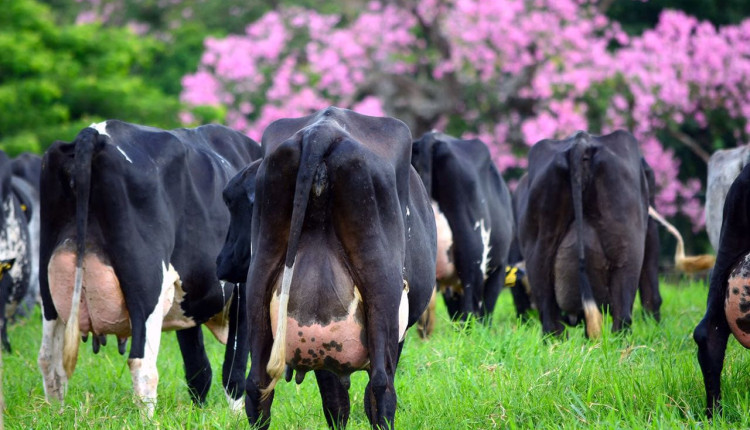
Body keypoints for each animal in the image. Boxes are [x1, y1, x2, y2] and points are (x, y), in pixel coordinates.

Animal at [38, 119, 262, 414]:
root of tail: (93, 133)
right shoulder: (242, 291)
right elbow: (233, 369)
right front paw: (235, 417)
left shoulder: (187, 298)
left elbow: (198, 367)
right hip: (147, 286)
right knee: (141, 363)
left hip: (48, 284)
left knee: (49, 360)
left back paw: (56, 415)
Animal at [241, 107, 438, 430]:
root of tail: (322, 129)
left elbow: (334, 400)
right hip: (382, 286)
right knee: (382, 385)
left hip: (258, 279)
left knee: (257, 386)